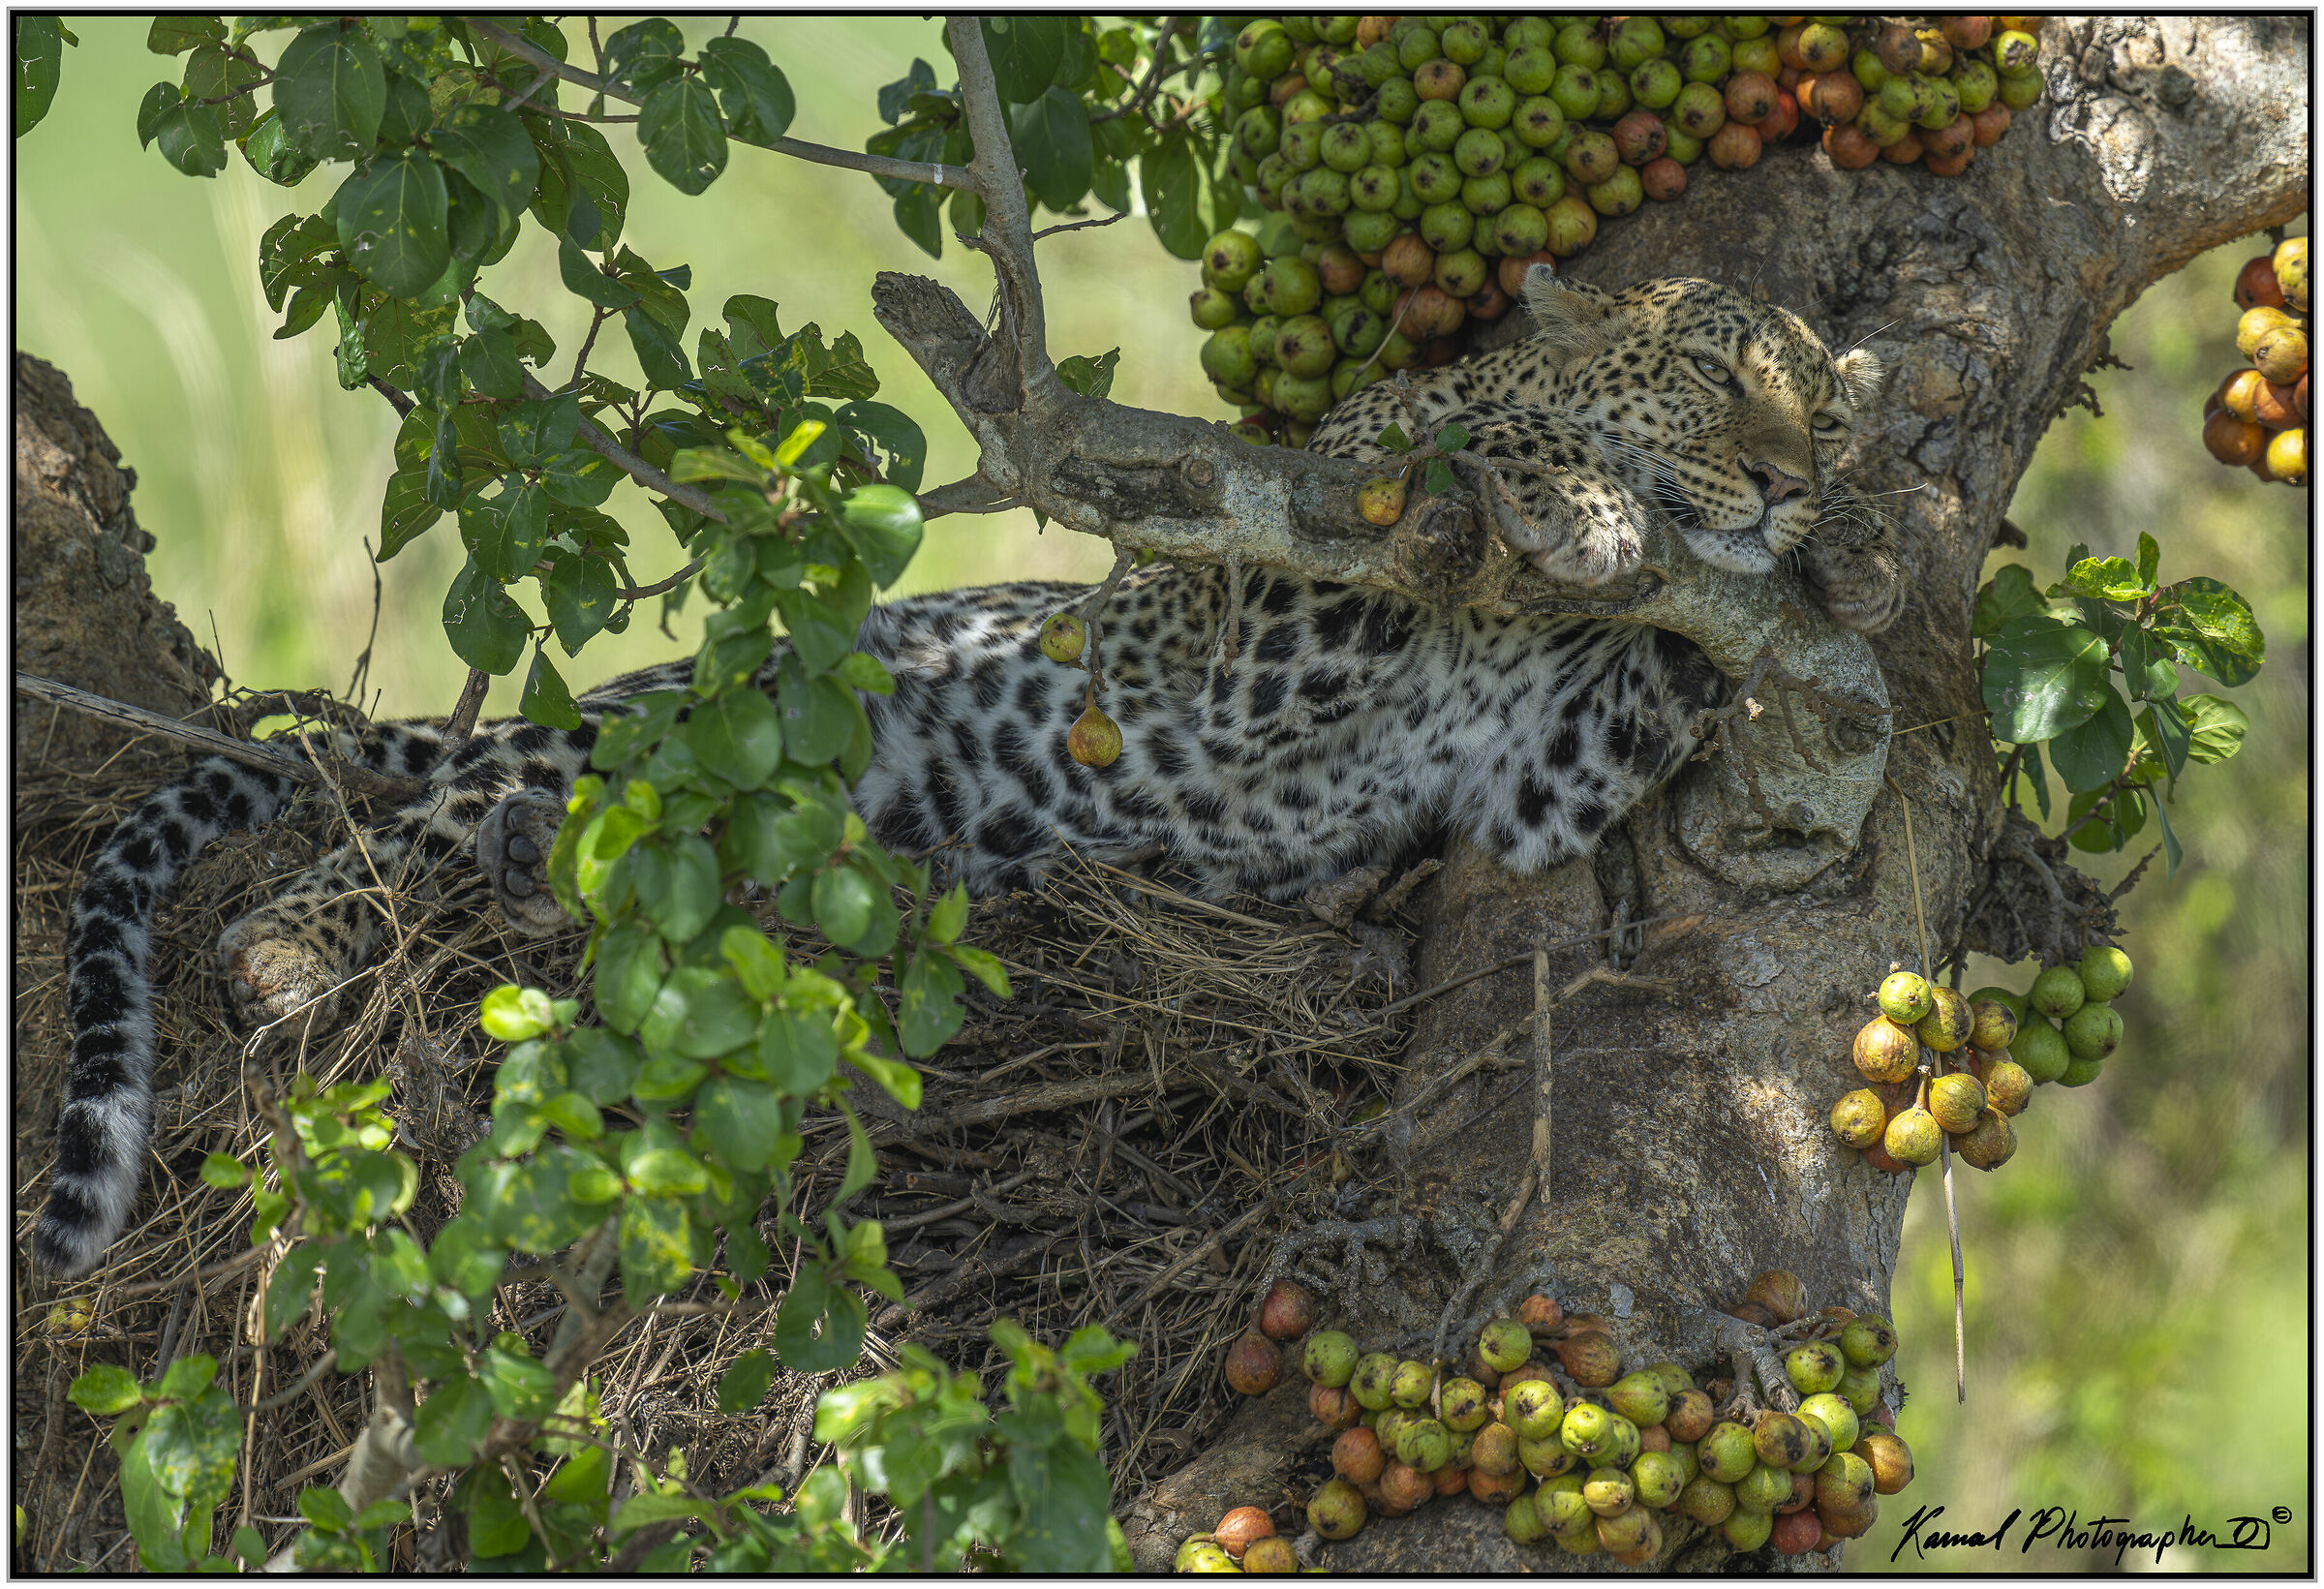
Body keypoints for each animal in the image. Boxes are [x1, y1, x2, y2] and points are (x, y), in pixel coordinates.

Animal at [35, 270, 1899, 1276]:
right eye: (1716, 371)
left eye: (1827, 413)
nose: (1787, 478)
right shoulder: (1250, 611)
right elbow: (1446, 434)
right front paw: (1588, 493)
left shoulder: (1533, 772)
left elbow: (1665, 677)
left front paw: (1855, 580)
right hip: (648, 720)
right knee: (379, 828)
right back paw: (299, 941)